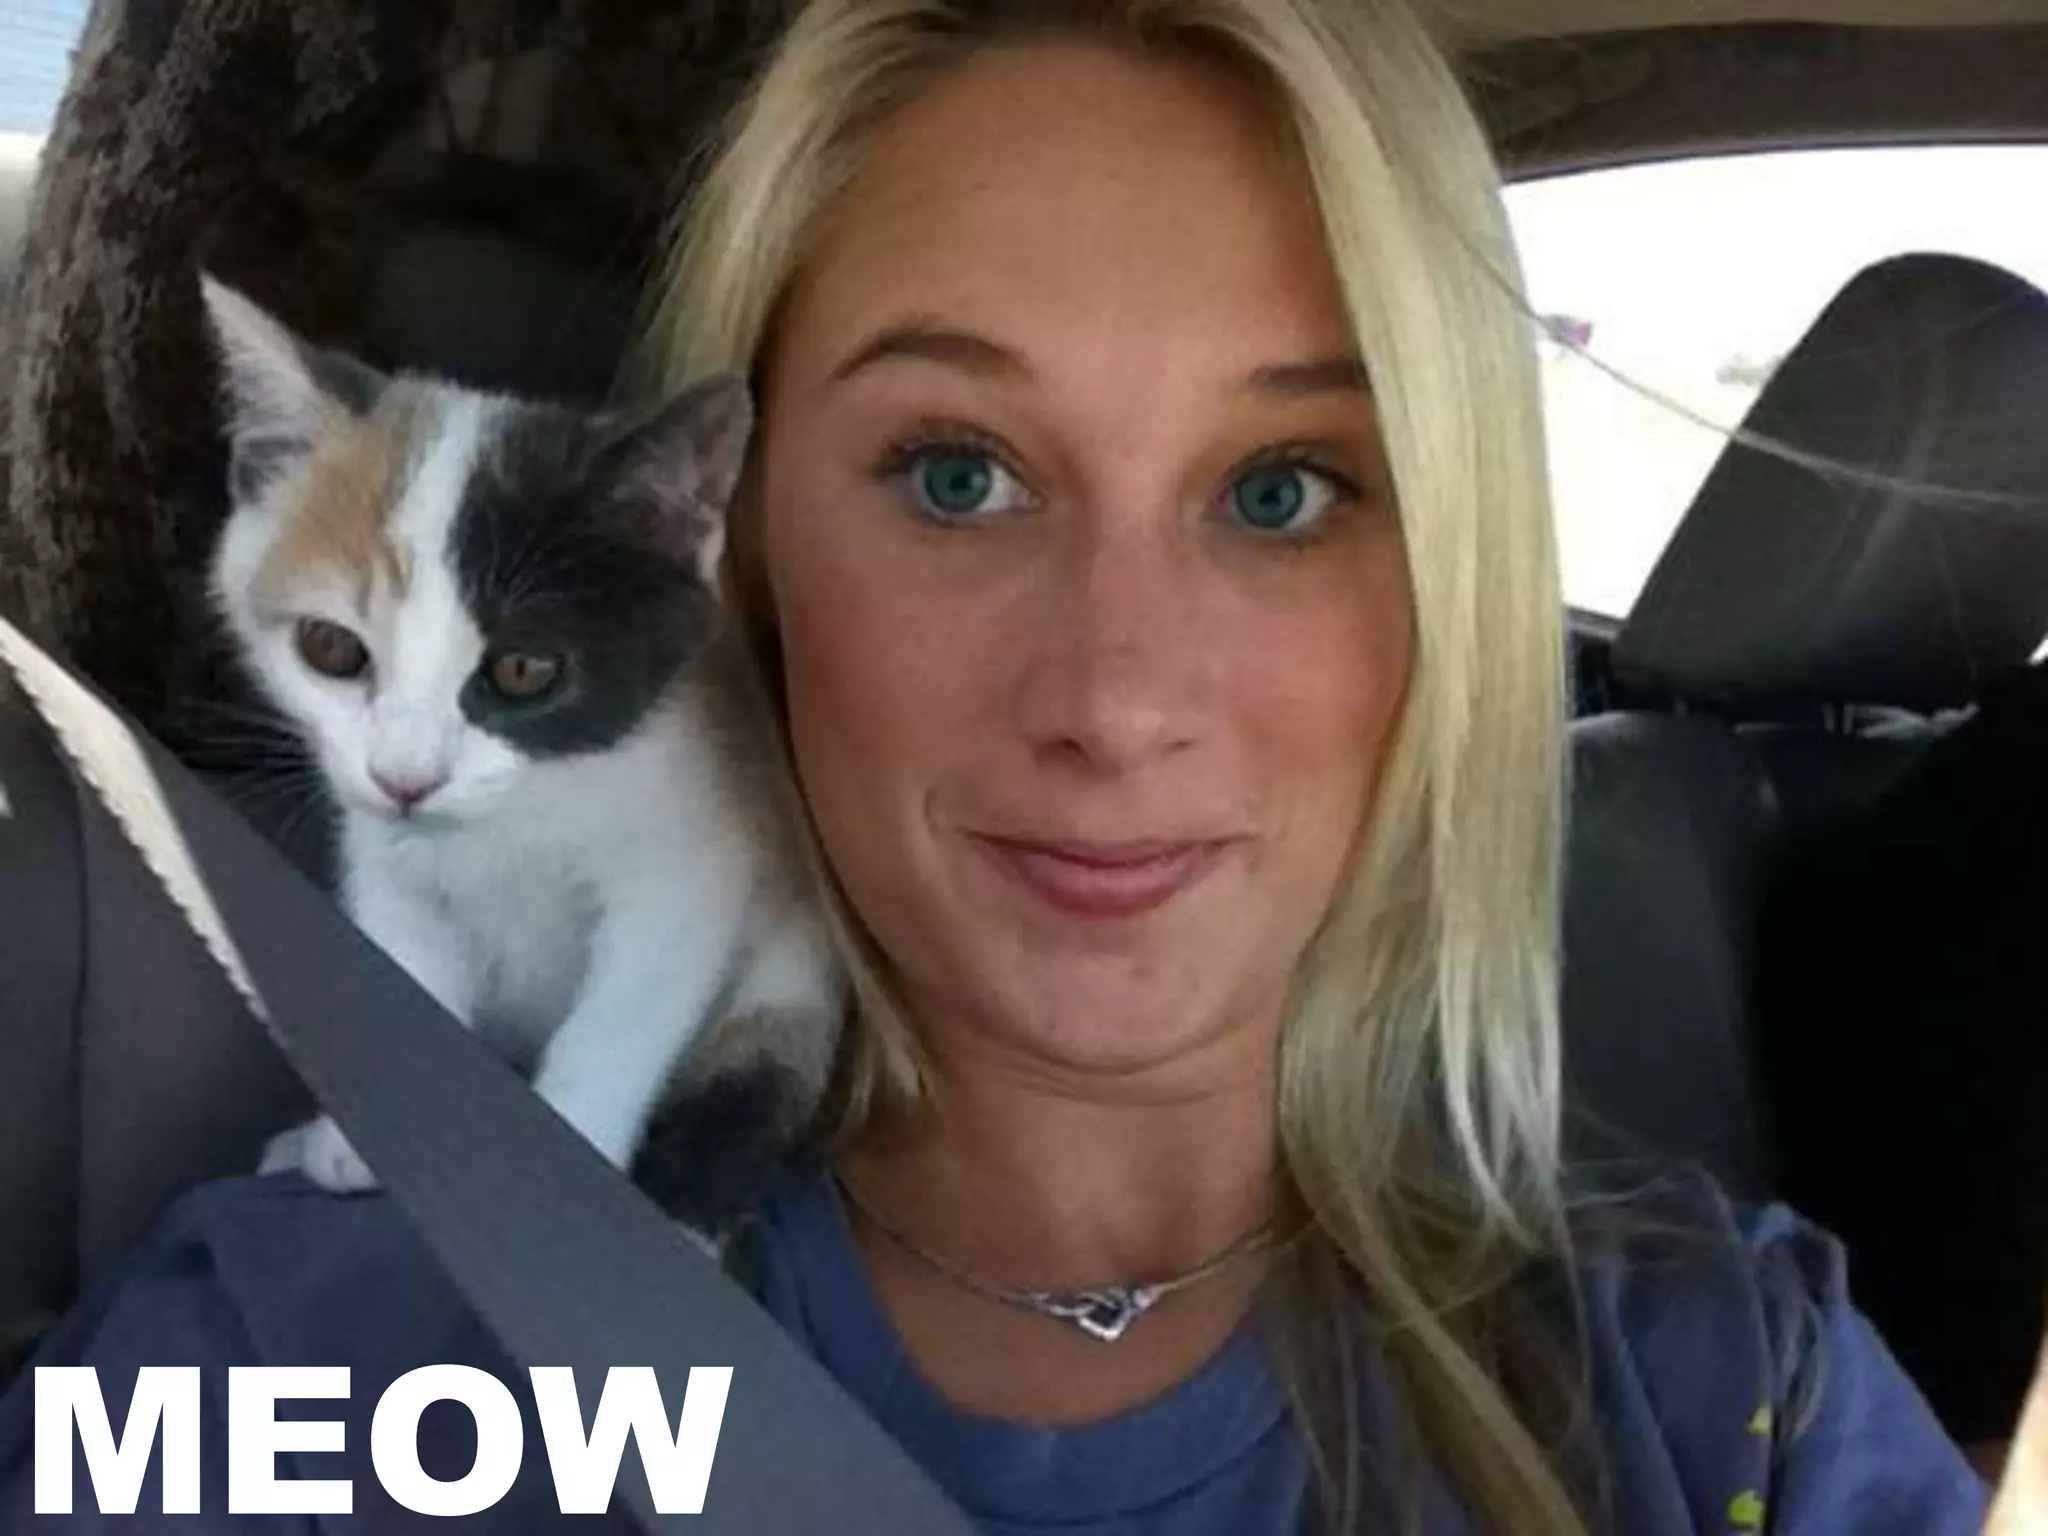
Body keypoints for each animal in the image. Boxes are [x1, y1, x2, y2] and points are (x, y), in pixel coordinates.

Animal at [198, 276, 843, 1227]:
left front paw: (573, 1150)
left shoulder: (693, 863)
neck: (512, 821)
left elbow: (620, 1016)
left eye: (524, 670)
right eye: (331, 649)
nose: (406, 779)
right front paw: (361, 1133)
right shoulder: (388, 861)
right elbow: (403, 968)